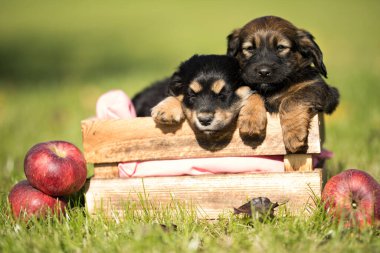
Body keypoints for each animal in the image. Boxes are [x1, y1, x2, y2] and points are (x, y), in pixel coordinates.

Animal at [132, 54, 266, 141]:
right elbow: (176, 95)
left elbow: (255, 94)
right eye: (192, 94)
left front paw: (252, 119)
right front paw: (165, 109)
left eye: (223, 94)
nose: (205, 120)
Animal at [227, 16, 340, 154]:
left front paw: (294, 134)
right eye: (250, 48)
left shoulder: (321, 88)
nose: (264, 72)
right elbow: (250, 92)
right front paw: (250, 121)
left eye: (280, 47)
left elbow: (291, 100)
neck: (272, 90)